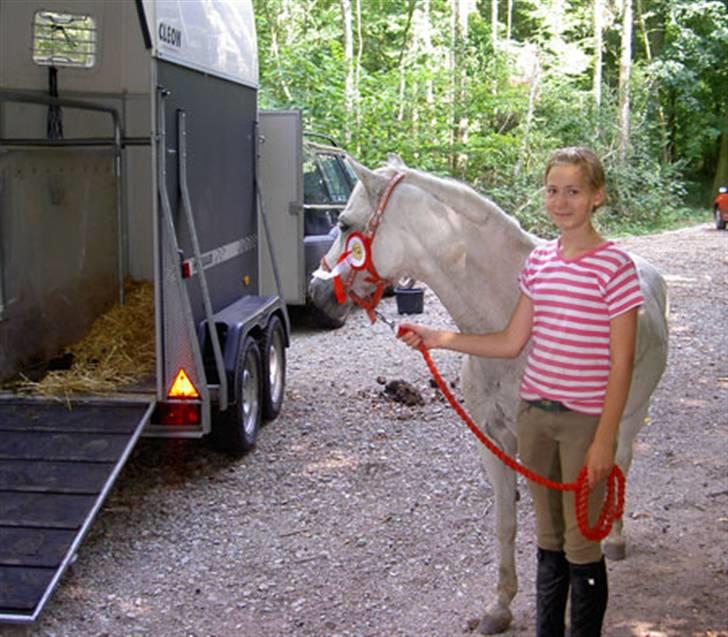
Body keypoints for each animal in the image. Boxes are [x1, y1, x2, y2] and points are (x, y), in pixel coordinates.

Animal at [308, 157, 664, 632]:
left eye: (345, 224)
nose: (315, 291)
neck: (507, 313)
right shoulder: (494, 443)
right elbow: (506, 524)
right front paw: (500, 606)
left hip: (630, 415)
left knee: (620, 466)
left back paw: (618, 538)